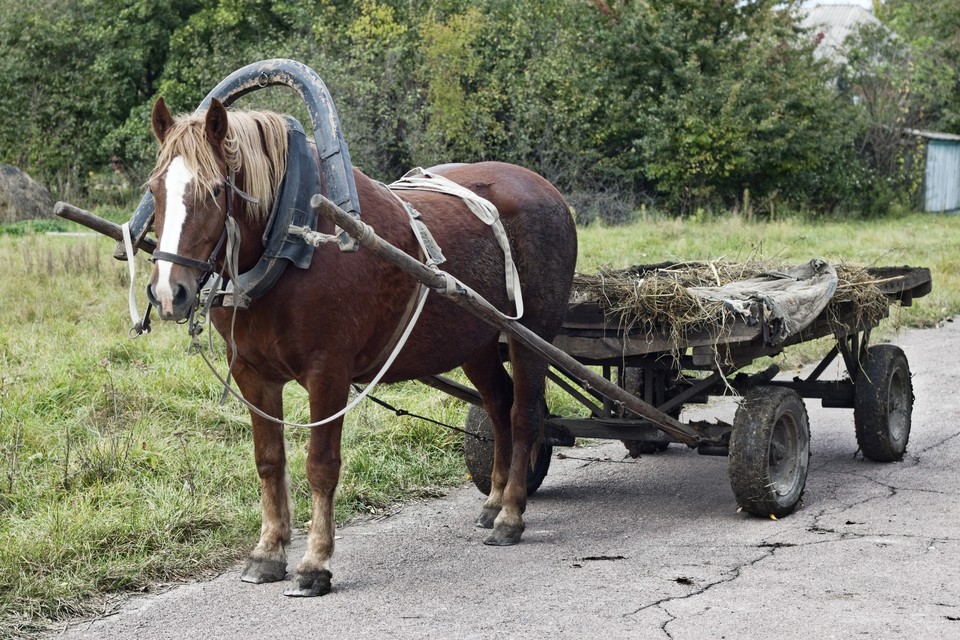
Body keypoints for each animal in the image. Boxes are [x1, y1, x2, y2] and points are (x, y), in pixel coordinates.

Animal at [143, 97, 576, 596]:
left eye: (215, 190)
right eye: (154, 189)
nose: (168, 292)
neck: (294, 242)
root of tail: (547, 190)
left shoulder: (327, 373)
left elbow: (320, 465)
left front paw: (314, 562)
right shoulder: (254, 375)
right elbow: (269, 461)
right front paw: (268, 552)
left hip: (533, 335)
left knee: (523, 415)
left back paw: (510, 514)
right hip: (478, 341)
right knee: (499, 405)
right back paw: (494, 502)